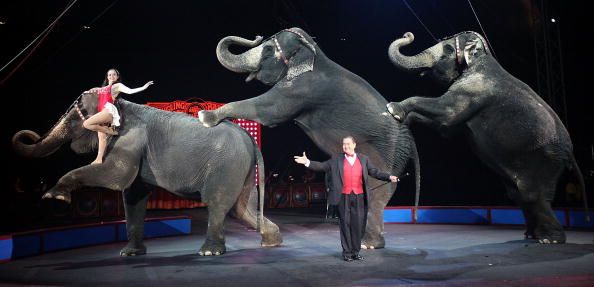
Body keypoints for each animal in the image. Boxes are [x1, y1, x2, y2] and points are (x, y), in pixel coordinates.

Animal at [11, 94, 280, 256]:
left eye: (79, 112)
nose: (29, 135)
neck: (121, 104)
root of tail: (249, 137)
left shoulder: (130, 138)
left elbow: (115, 176)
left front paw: (54, 196)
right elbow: (133, 195)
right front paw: (129, 254)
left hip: (227, 164)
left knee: (218, 203)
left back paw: (209, 252)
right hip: (242, 168)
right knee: (241, 208)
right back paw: (272, 241)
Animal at [197, 27, 418, 250]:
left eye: (268, 51)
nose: (257, 36)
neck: (314, 53)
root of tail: (408, 133)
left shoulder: (302, 89)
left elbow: (269, 111)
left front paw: (205, 117)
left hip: (385, 152)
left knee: (377, 190)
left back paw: (368, 244)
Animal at [384, 31, 584, 243]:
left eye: (447, 49)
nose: (408, 35)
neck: (481, 57)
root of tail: (570, 154)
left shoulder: (474, 88)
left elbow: (448, 113)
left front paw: (394, 109)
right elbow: (446, 128)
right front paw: (404, 118)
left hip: (545, 159)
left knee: (533, 195)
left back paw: (549, 239)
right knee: (518, 194)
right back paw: (531, 235)